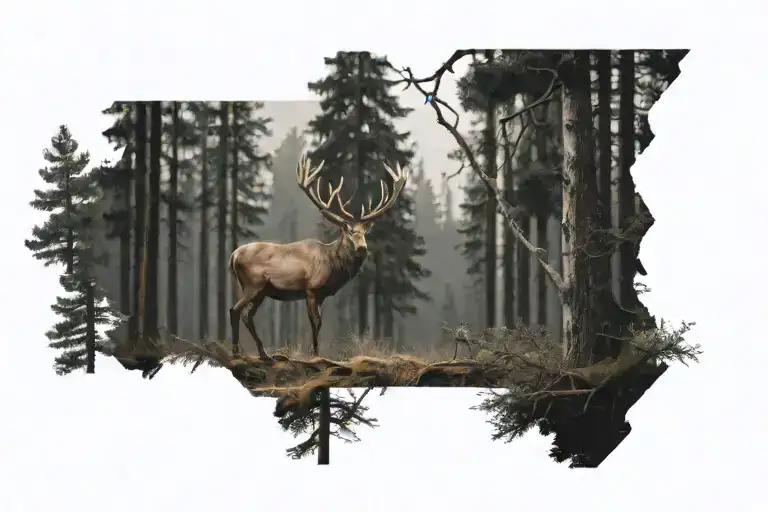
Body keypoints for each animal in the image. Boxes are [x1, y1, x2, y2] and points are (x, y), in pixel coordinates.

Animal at [228, 154, 409, 360]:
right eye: (349, 231)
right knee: (235, 310)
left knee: (247, 315)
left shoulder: (321, 295)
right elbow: (314, 322)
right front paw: (315, 354)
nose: (362, 248)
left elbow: (319, 322)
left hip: (262, 290)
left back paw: (263, 353)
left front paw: (315, 352)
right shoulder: (311, 289)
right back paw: (237, 352)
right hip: (253, 284)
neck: (332, 265)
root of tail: (233, 256)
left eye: (364, 233)